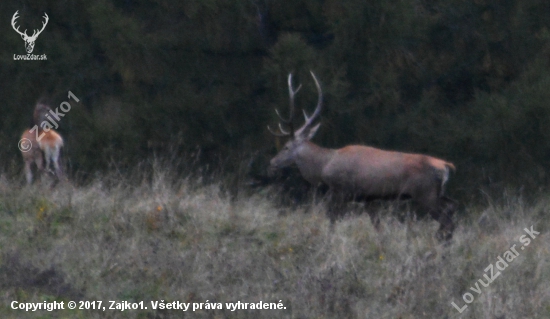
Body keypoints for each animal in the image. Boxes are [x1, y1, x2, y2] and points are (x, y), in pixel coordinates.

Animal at [270, 72, 458, 241]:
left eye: (286, 147)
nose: (273, 162)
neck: (324, 166)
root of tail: (446, 166)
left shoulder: (341, 190)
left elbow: (332, 221)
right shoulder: (369, 198)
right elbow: (377, 226)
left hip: (425, 193)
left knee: (447, 220)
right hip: (437, 192)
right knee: (451, 207)